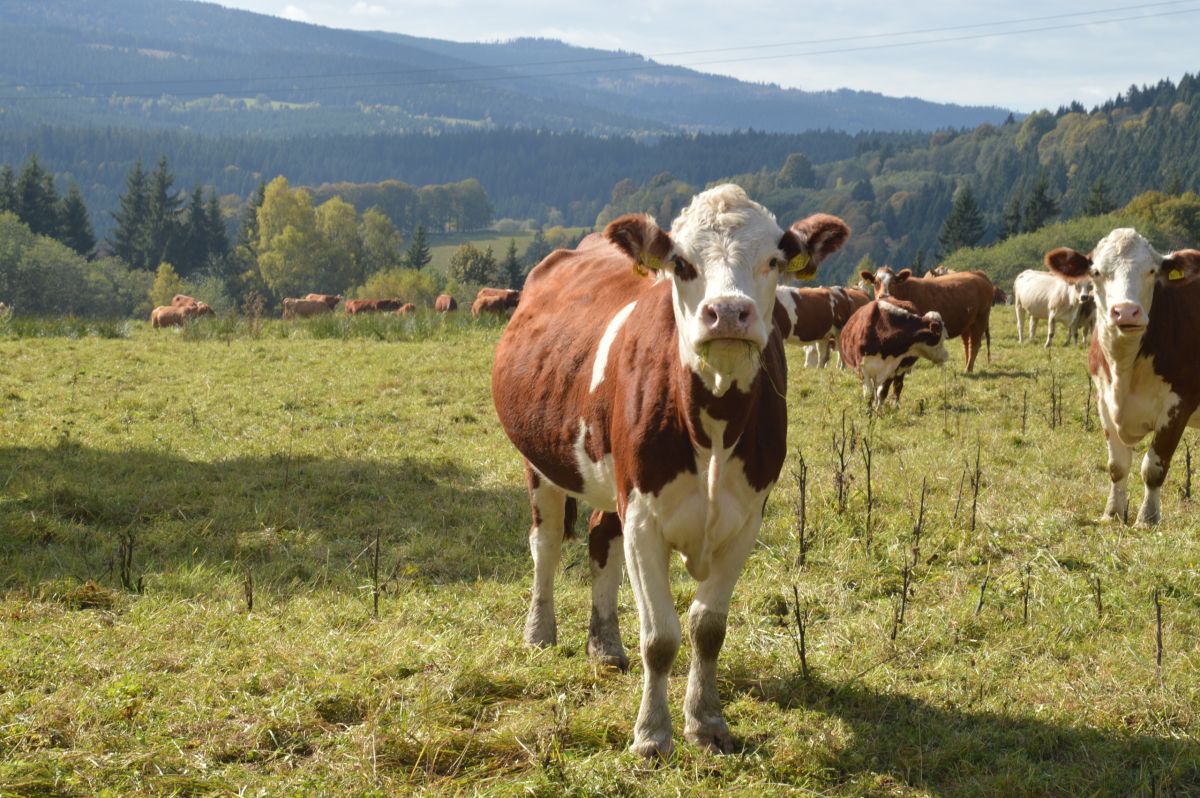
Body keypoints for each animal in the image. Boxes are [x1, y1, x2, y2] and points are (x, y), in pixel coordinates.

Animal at [489, 183, 854, 758]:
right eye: (681, 263)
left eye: (774, 260)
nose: (727, 312)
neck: (715, 423)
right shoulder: (643, 517)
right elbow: (660, 637)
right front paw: (652, 734)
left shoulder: (745, 520)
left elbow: (707, 629)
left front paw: (706, 722)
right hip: (541, 462)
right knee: (545, 544)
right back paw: (540, 632)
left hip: (609, 478)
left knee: (600, 538)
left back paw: (605, 644)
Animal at [864, 264, 993, 369]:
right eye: (876, 282)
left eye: (893, 282)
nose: (884, 296)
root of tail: (978, 273)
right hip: (967, 323)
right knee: (967, 344)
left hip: (981, 318)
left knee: (975, 344)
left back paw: (968, 369)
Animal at [1041, 230, 1200, 525]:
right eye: (1096, 272)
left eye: (1152, 271)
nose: (1126, 311)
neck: (1124, 369)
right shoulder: (1103, 401)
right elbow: (1117, 466)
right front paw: (1112, 513)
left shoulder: (1178, 404)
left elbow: (1153, 466)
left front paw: (1147, 519)